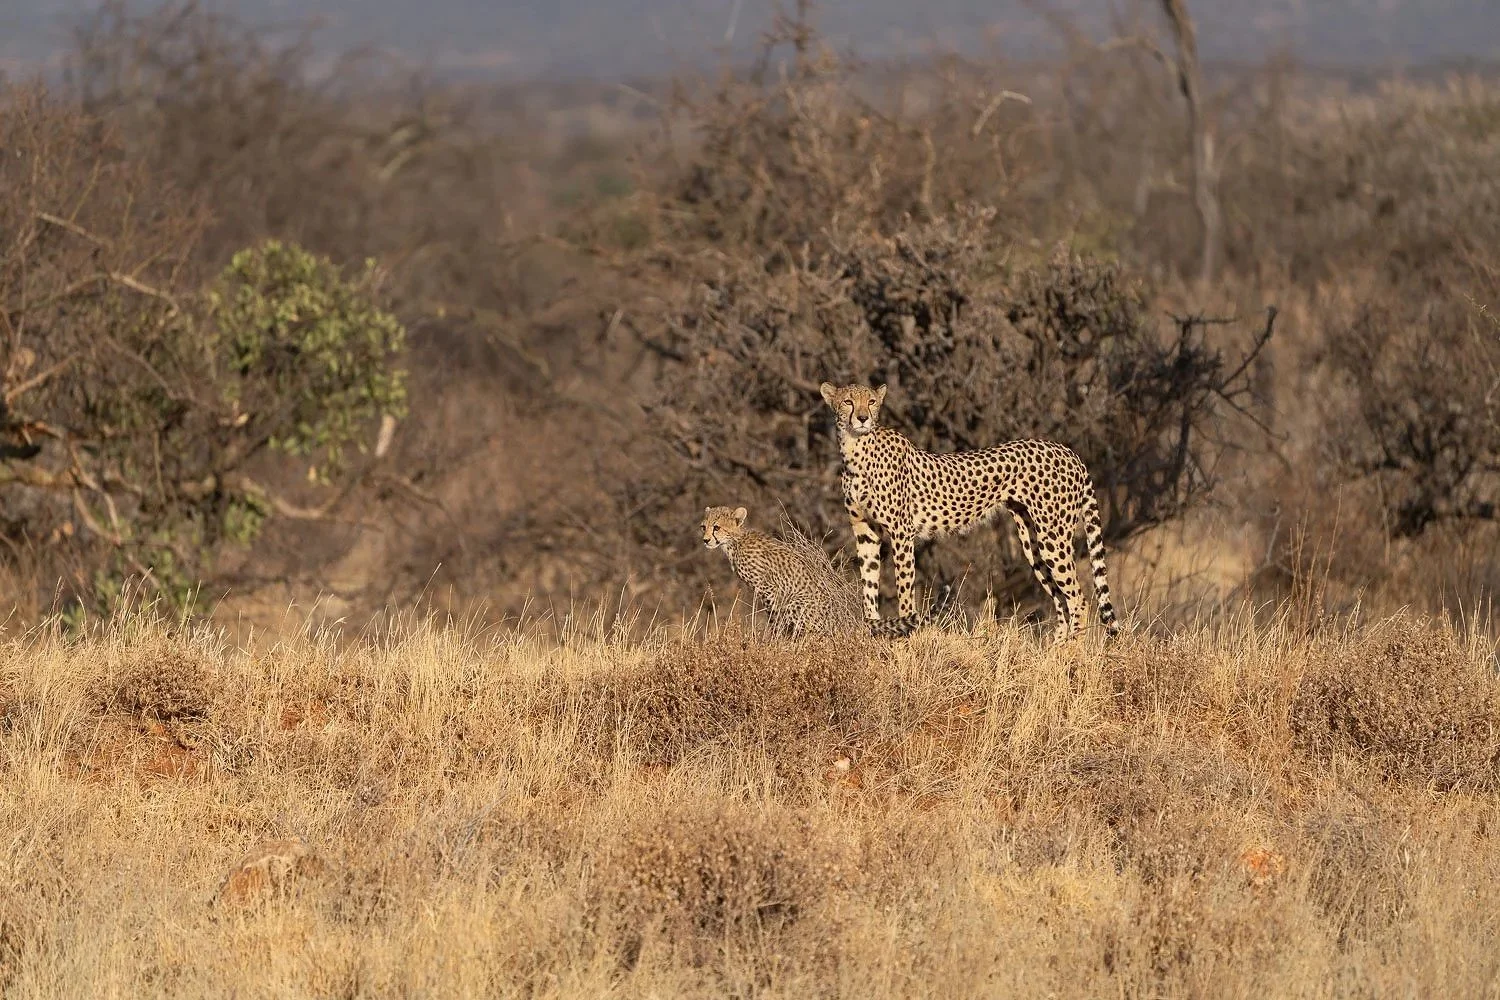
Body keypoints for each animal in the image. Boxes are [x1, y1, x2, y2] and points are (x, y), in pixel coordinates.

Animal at [700, 505, 951, 638]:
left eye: (717, 527)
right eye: (704, 526)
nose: (704, 540)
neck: (734, 542)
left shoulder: (770, 588)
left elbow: (773, 615)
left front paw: (776, 637)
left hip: (798, 603)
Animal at [818, 381, 1120, 642]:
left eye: (870, 401)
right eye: (847, 401)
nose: (862, 418)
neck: (854, 450)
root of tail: (1069, 451)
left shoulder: (901, 533)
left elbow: (904, 591)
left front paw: (904, 638)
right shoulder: (865, 531)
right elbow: (868, 586)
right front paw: (873, 633)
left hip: (1053, 536)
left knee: (1078, 599)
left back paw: (1070, 654)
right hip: (1031, 539)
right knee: (1061, 600)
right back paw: (1051, 656)